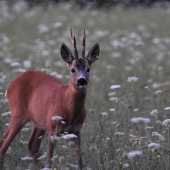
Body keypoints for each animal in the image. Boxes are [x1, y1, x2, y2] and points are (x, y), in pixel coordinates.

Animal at [0, 28, 99, 170]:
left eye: (88, 69)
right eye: (72, 69)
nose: (82, 81)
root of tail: (10, 86)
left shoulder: (77, 130)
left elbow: (80, 161)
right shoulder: (53, 127)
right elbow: (49, 158)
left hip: (39, 122)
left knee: (31, 145)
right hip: (18, 112)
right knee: (4, 145)